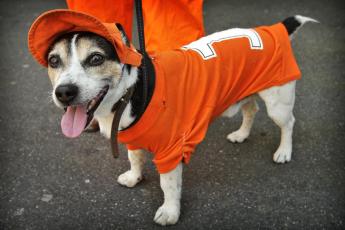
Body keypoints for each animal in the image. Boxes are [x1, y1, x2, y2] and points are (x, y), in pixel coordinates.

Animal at [28, 10, 316, 225]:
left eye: (96, 58)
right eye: (54, 61)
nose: (64, 92)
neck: (132, 91)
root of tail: (273, 28)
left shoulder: (171, 151)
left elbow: (168, 186)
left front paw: (169, 212)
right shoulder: (132, 139)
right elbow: (135, 159)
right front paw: (134, 177)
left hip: (278, 102)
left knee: (288, 123)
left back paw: (283, 151)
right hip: (245, 92)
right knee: (250, 110)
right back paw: (241, 134)